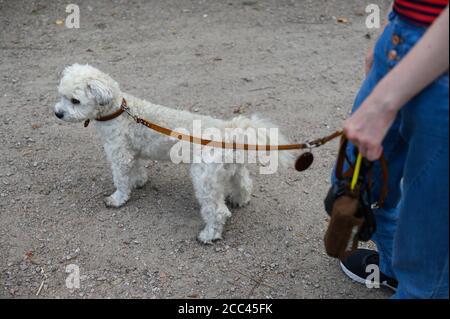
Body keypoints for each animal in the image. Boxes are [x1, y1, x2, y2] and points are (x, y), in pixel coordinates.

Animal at [54, 65, 294, 245]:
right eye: (61, 96)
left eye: (75, 100)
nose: (57, 113)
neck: (119, 111)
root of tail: (230, 130)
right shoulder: (133, 151)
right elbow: (137, 169)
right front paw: (138, 182)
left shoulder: (119, 154)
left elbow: (121, 180)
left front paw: (118, 198)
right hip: (232, 170)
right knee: (244, 184)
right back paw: (239, 200)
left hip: (204, 179)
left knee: (217, 211)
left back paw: (209, 235)